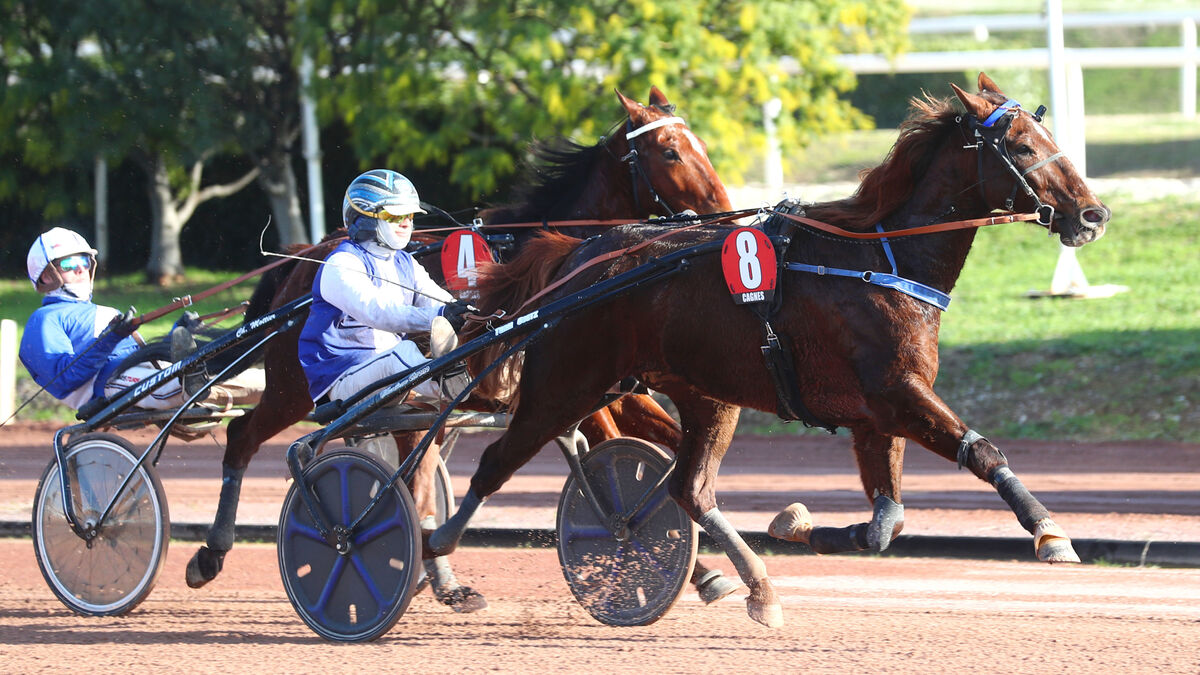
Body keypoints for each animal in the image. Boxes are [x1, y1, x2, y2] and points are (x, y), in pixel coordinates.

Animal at [184, 88, 739, 605]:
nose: (727, 217)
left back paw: (435, 571)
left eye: (701, 145)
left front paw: (710, 559)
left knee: (414, 477)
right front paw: (688, 562)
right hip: (296, 389)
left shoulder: (614, 388)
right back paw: (212, 552)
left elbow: (672, 441)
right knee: (243, 436)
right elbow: (610, 450)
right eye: (670, 151)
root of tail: (302, 259)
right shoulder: (573, 387)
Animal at [427, 73, 1108, 624]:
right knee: (494, 462)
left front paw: (800, 525)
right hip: (567, 385)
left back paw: (754, 585)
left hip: (700, 394)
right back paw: (434, 549)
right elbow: (982, 450)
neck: (879, 260)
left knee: (690, 489)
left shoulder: (878, 414)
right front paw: (1049, 532)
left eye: (1048, 138)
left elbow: (885, 524)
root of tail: (578, 254)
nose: (1092, 214)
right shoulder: (898, 393)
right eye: (1023, 147)